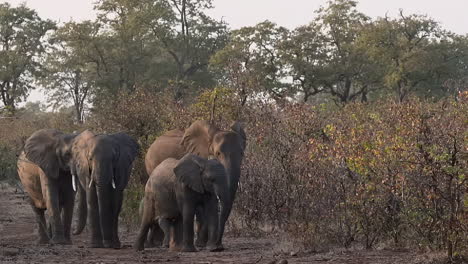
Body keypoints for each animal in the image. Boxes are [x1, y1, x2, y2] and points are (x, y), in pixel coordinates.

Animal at [144, 120, 247, 249]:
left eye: (242, 153)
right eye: (218, 153)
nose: (219, 244)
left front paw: (206, 244)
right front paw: (201, 244)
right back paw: (156, 244)